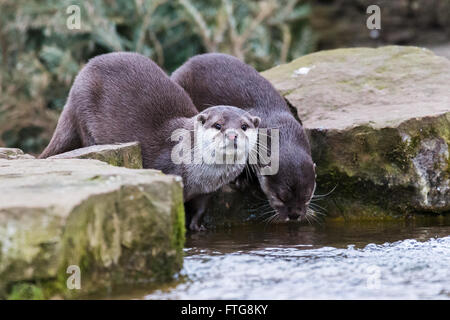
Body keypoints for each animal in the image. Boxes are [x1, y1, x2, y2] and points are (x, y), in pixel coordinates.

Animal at [41, 53, 264, 232]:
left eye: (244, 126)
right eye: (218, 125)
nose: (233, 135)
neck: (202, 175)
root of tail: (79, 77)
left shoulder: (207, 191)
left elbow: (200, 209)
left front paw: (197, 227)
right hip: (84, 110)